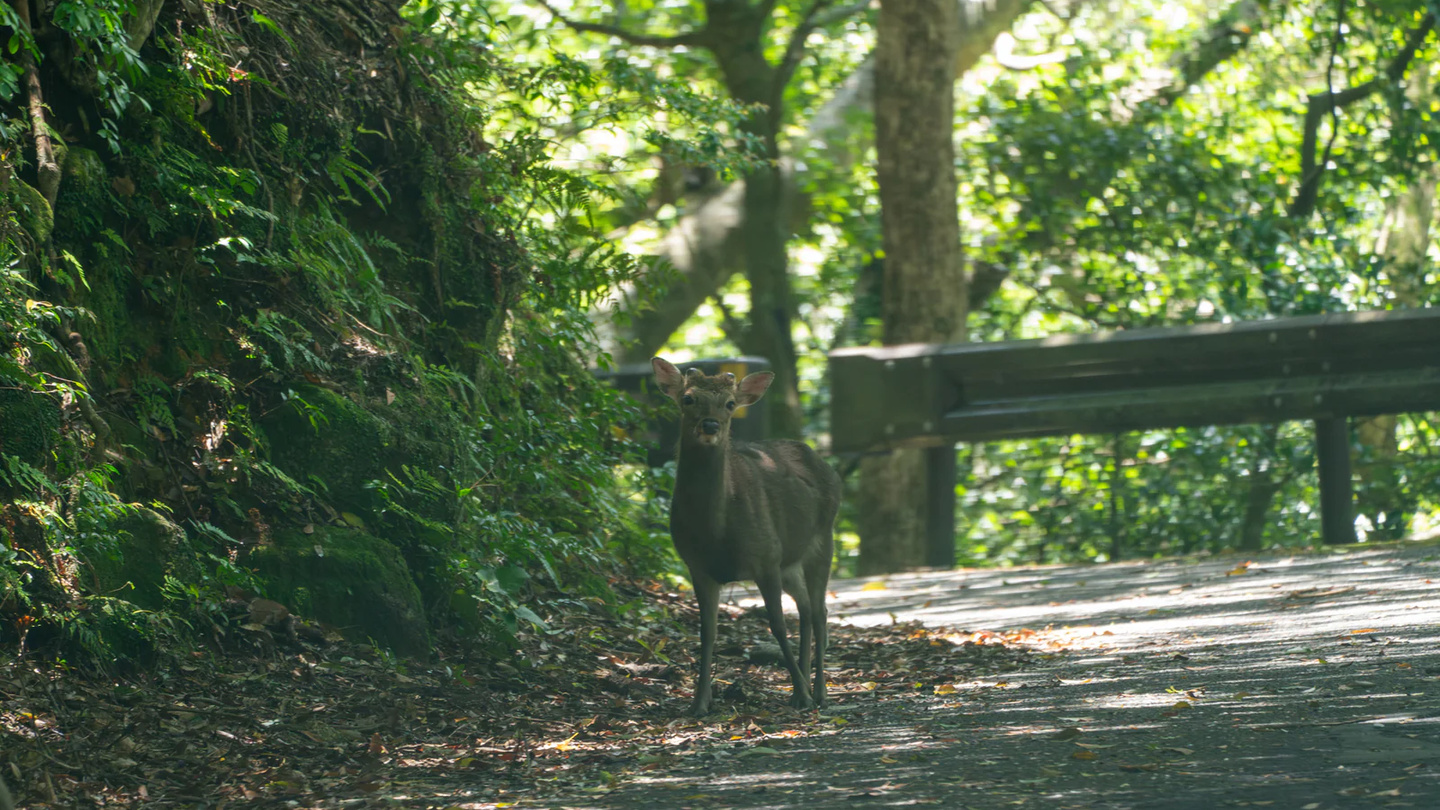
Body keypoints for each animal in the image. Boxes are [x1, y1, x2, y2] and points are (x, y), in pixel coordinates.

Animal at [651, 358, 841, 715]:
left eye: (730, 403)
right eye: (688, 398)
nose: (710, 425)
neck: (717, 532)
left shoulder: (765, 557)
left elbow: (777, 625)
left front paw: (805, 692)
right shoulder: (698, 567)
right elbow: (707, 633)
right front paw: (699, 703)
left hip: (822, 539)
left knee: (820, 612)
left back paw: (819, 692)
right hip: (789, 561)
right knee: (806, 609)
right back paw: (802, 689)